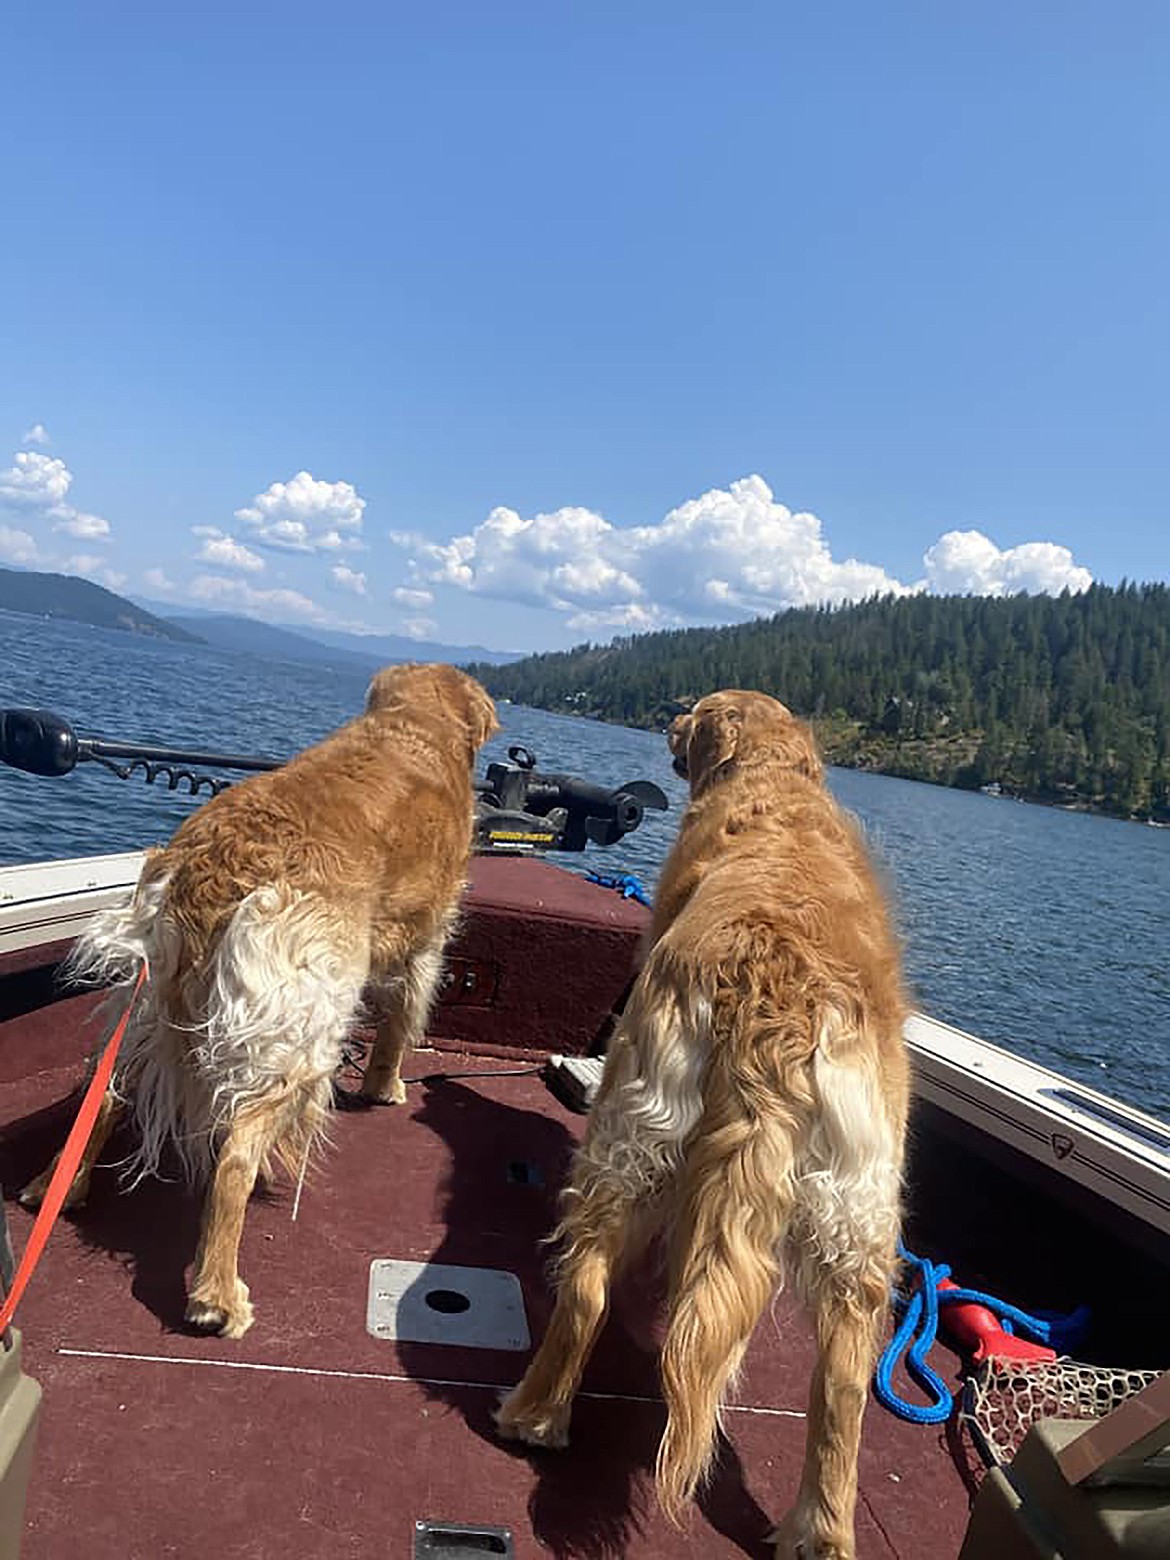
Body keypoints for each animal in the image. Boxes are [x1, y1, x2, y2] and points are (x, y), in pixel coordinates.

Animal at [20, 664, 499, 1335]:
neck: (414, 723)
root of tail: (214, 867)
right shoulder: (426, 941)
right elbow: (401, 1023)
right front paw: (387, 1088)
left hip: (144, 1002)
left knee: (107, 1092)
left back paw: (56, 1188)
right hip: (302, 1025)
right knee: (235, 1159)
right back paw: (217, 1297)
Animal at [499, 689, 911, 1560]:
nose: (674, 723)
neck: (770, 778)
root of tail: (776, 995)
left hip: (631, 1115)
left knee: (587, 1288)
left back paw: (535, 1414)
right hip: (858, 1202)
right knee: (843, 1382)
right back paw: (820, 1530)